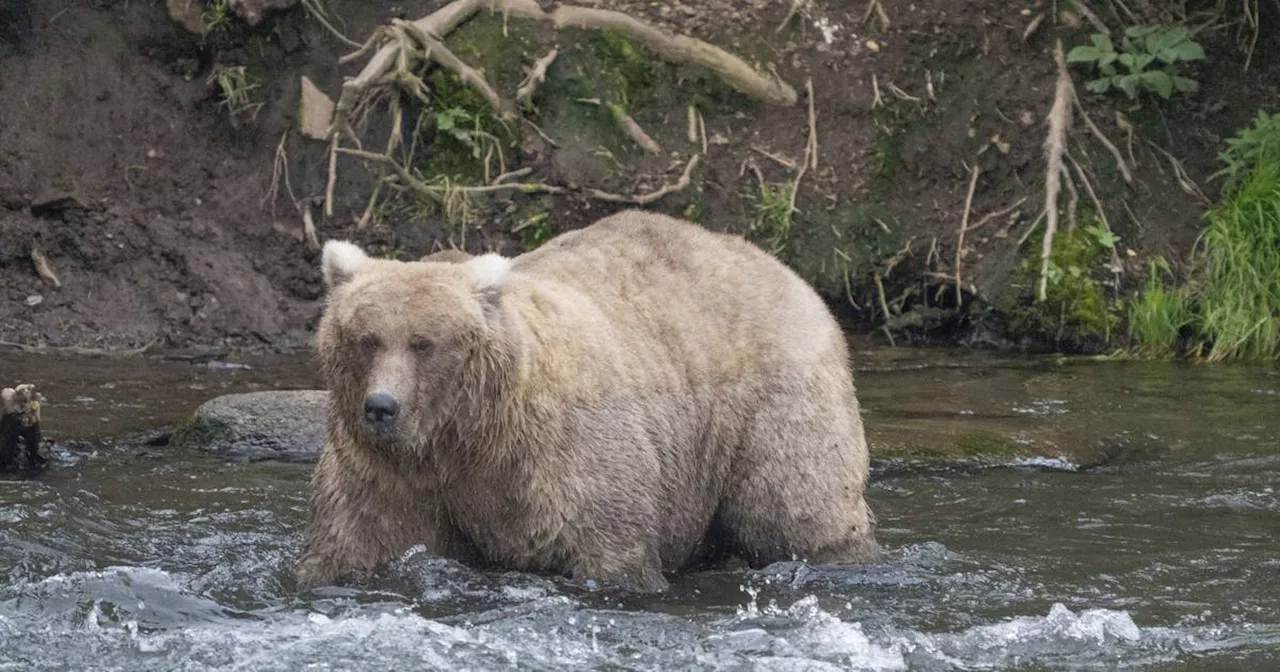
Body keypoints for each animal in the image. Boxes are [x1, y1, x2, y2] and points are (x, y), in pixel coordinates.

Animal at [296, 207, 880, 588]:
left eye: (424, 342)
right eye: (366, 338)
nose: (381, 407)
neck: (466, 437)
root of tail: (781, 267)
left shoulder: (562, 456)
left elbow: (608, 546)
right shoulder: (389, 474)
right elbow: (356, 541)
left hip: (773, 402)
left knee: (796, 507)